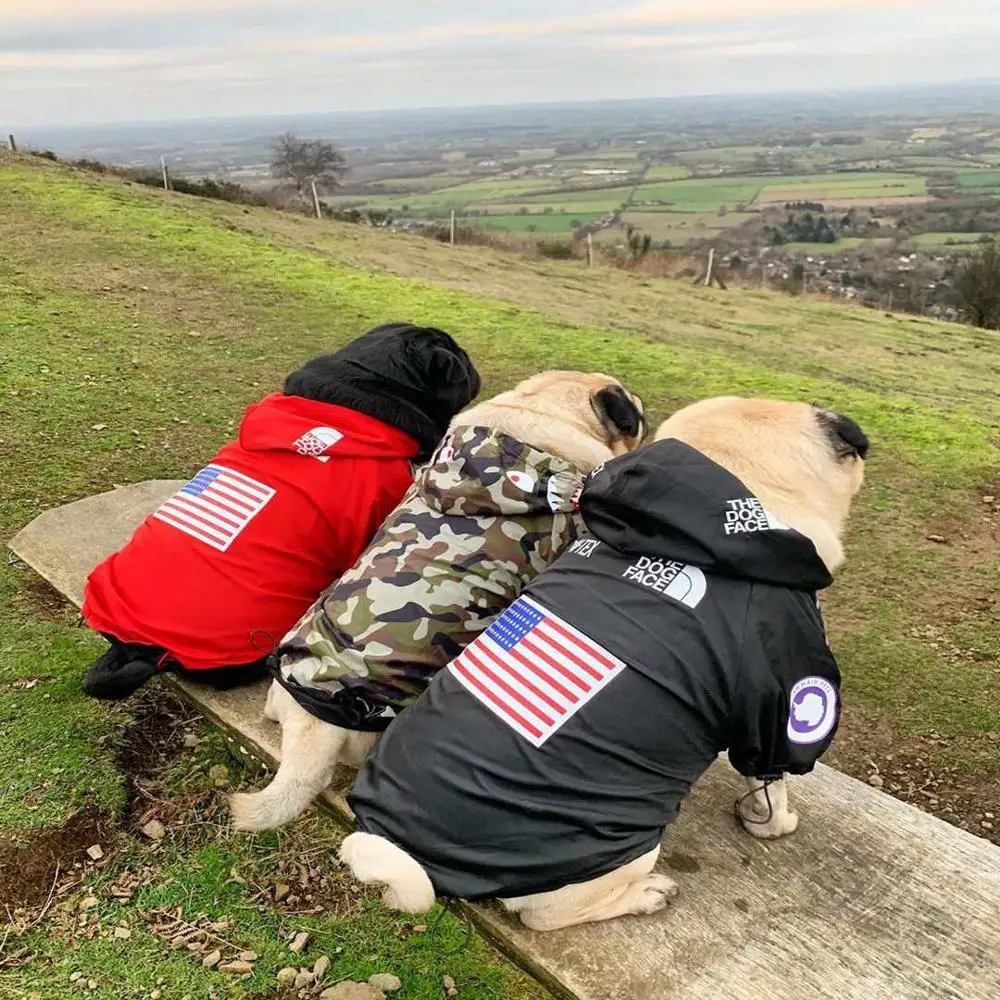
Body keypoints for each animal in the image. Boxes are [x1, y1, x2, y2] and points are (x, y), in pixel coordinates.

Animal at [338, 396, 868, 928]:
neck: (729, 481)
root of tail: (422, 860)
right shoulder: (777, 702)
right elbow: (771, 779)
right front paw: (773, 821)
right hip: (628, 853)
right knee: (544, 917)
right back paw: (645, 895)